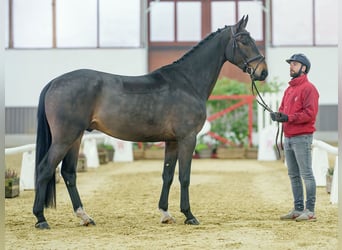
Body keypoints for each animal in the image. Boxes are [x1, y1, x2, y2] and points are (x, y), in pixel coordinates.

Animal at [32, 15, 268, 229]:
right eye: (244, 40)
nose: (263, 72)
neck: (187, 82)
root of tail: (54, 82)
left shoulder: (172, 141)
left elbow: (167, 175)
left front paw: (165, 213)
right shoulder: (188, 138)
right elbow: (184, 177)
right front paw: (189, 215)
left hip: (76, 137)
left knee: (68, 173)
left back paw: (85, 217)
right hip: (65, 138)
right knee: (45, 169)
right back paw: (41, 219)